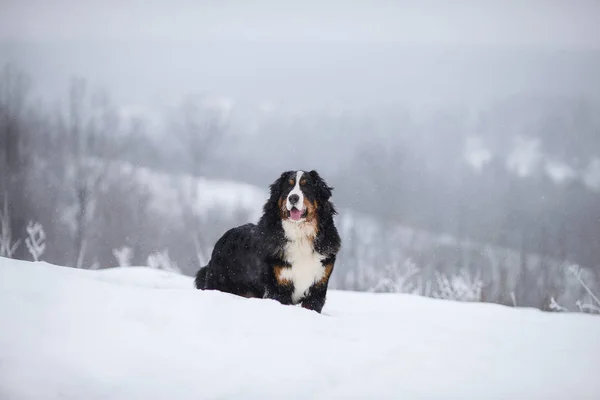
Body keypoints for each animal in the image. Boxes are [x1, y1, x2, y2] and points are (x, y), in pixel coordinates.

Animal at [195, 169, 340, 312]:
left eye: (306, 186)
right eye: (288, 187)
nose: (293, 197)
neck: (300, 236)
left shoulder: (318, 288)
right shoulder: (278, 287)